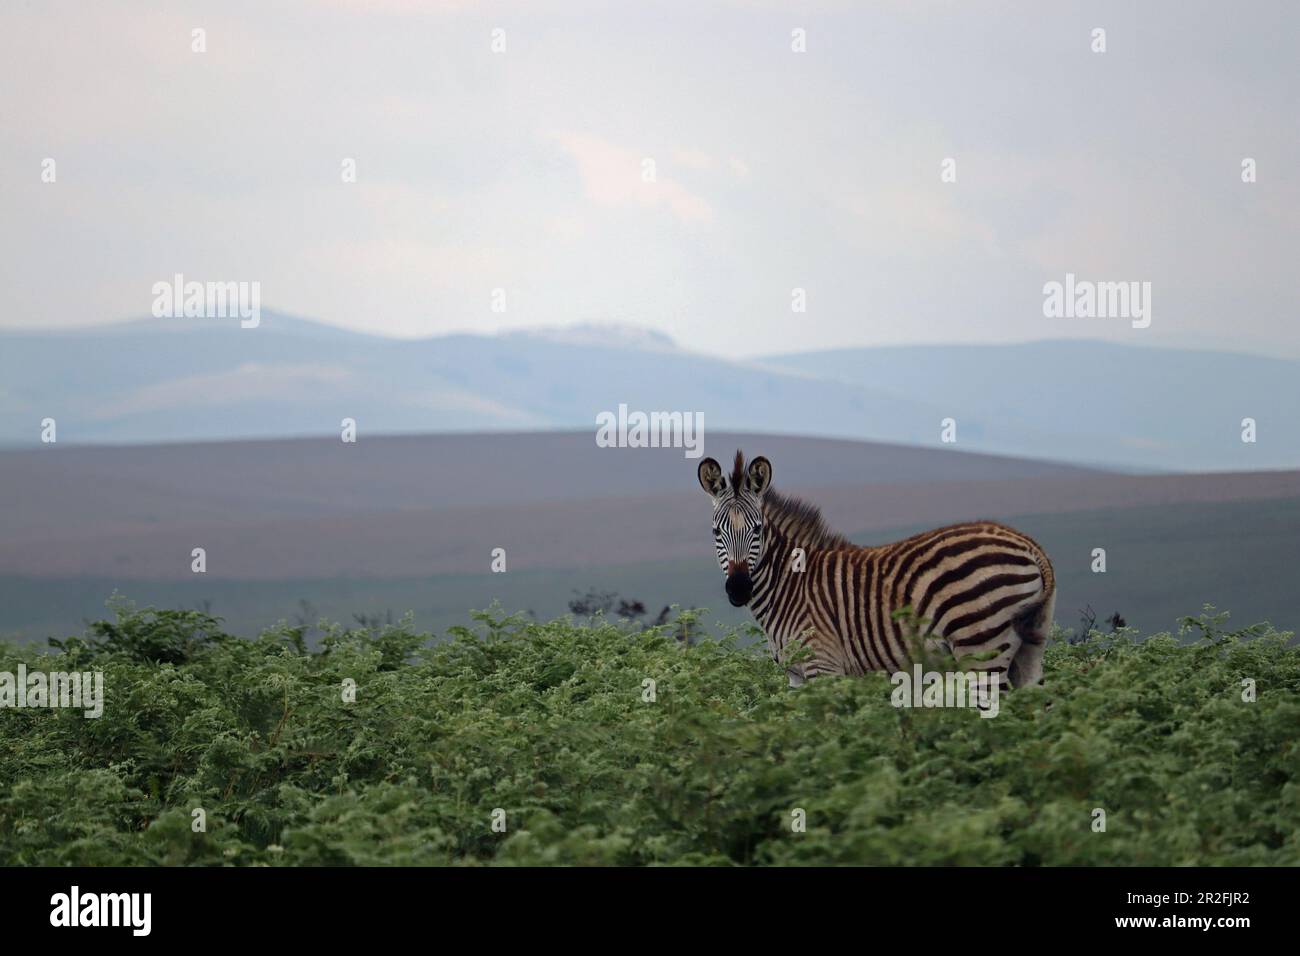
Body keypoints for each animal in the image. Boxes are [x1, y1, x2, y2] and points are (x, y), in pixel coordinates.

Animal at [702, 447, 1055, 686]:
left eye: (758, 530)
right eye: (716, 532)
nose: (738, 589)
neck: (791, 584)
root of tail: (1028, 544)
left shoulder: (824, 667)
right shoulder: (797, 676)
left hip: (981, 648)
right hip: (1028, 650)